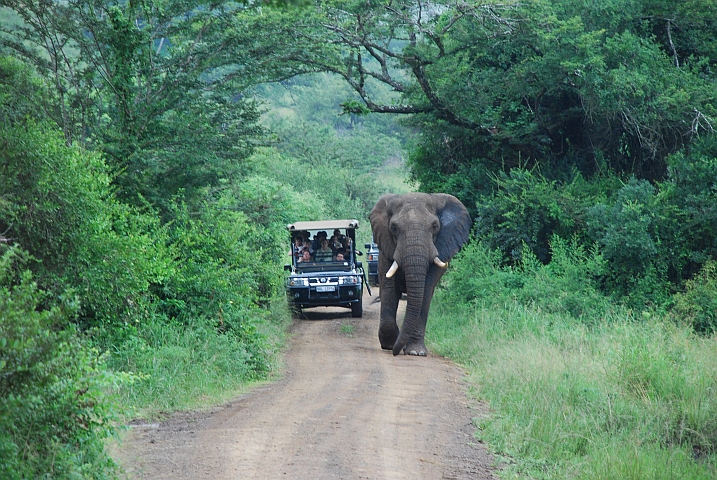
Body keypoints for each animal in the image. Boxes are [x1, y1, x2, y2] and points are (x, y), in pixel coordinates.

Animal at [370, 193, 472, 356]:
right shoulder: (386, 248)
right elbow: (389, 290)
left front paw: (415, 352)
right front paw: (390, 344)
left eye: (435, 226)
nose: (396, 352)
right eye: (394, 227)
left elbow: (425, 291)